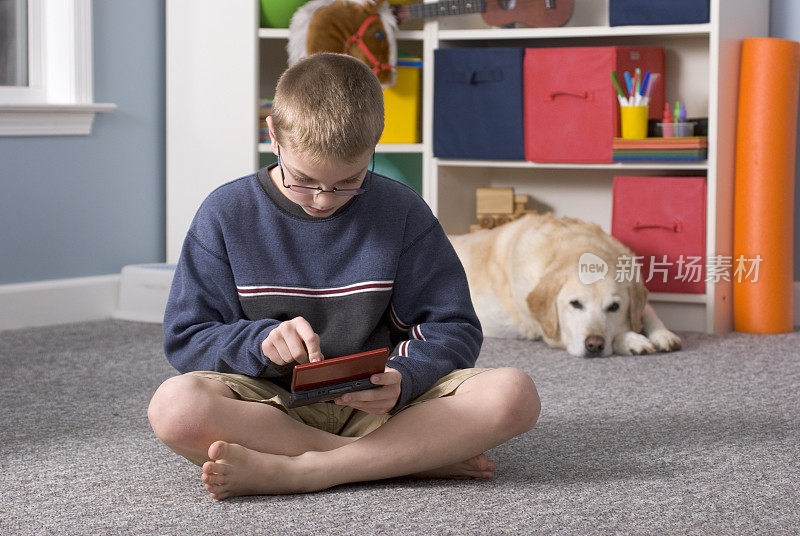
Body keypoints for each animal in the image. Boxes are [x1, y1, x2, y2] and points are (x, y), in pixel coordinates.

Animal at [450, 211, 680, 358]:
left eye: (614, 307)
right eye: (575, 304)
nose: (594, 345)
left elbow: (648, 312)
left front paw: (663, 334)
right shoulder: (554, 334)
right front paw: (632, 340)